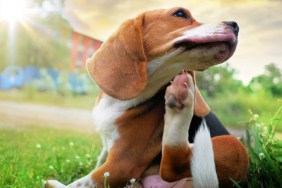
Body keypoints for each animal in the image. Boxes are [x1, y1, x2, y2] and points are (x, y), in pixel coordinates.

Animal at [45, 6, 249, 187]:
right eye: (180, 13)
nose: (236, 25)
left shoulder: (121, 165)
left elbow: (79, 183)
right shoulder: (107, 149)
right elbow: (98, 161)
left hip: (234, 145)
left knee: (172, 166)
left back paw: (181, 104)